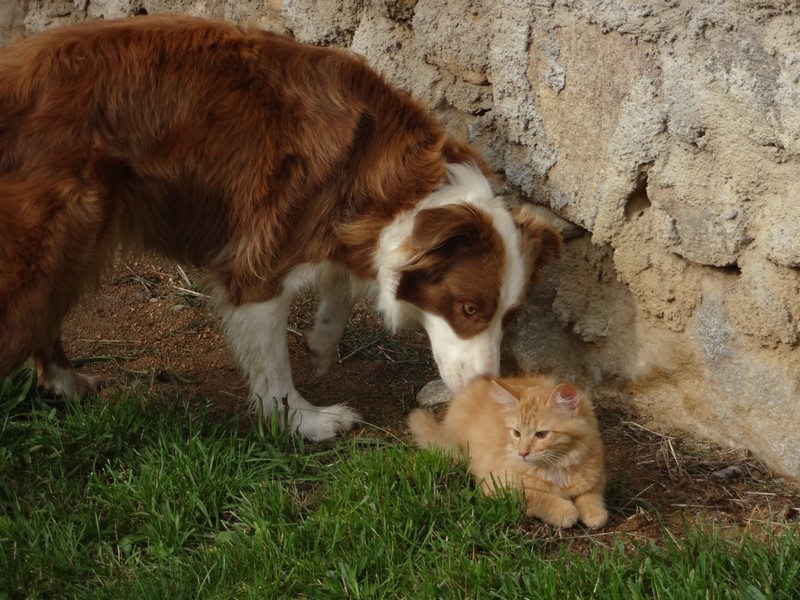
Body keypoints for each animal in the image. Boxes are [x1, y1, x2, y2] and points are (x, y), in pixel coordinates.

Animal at [0, 16, 564, 440]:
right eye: (469, 309)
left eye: (510, 316)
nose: (487, 389)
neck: (379, 175)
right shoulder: (258, 259)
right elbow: (272, 363)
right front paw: (304, 422)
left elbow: (344, 283)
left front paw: (323, 338)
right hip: (47, 243)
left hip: (78, 239)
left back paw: (67, 384)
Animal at [412, 378, 608, 528]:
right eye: (516, 433)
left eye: (541, 434)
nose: (522, 453)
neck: (556, 467)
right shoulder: (497, 486)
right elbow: (537, 496)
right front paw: (564, 510)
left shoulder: (596, 477)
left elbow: (590, 495)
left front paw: (595, 513)